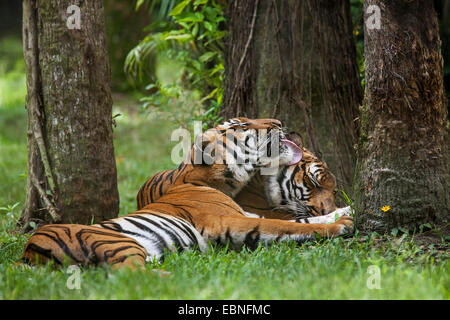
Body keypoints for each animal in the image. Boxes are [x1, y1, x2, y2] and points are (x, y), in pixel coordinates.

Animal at [20, 117, 352, 270]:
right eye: (243, 124)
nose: (279, 122)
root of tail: (28, 253)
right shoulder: (232, 220)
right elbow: (286, 225)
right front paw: (342, 224)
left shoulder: (247, 212)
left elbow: (299, 221)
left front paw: (343, 213)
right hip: (115, 243)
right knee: (128, 276)